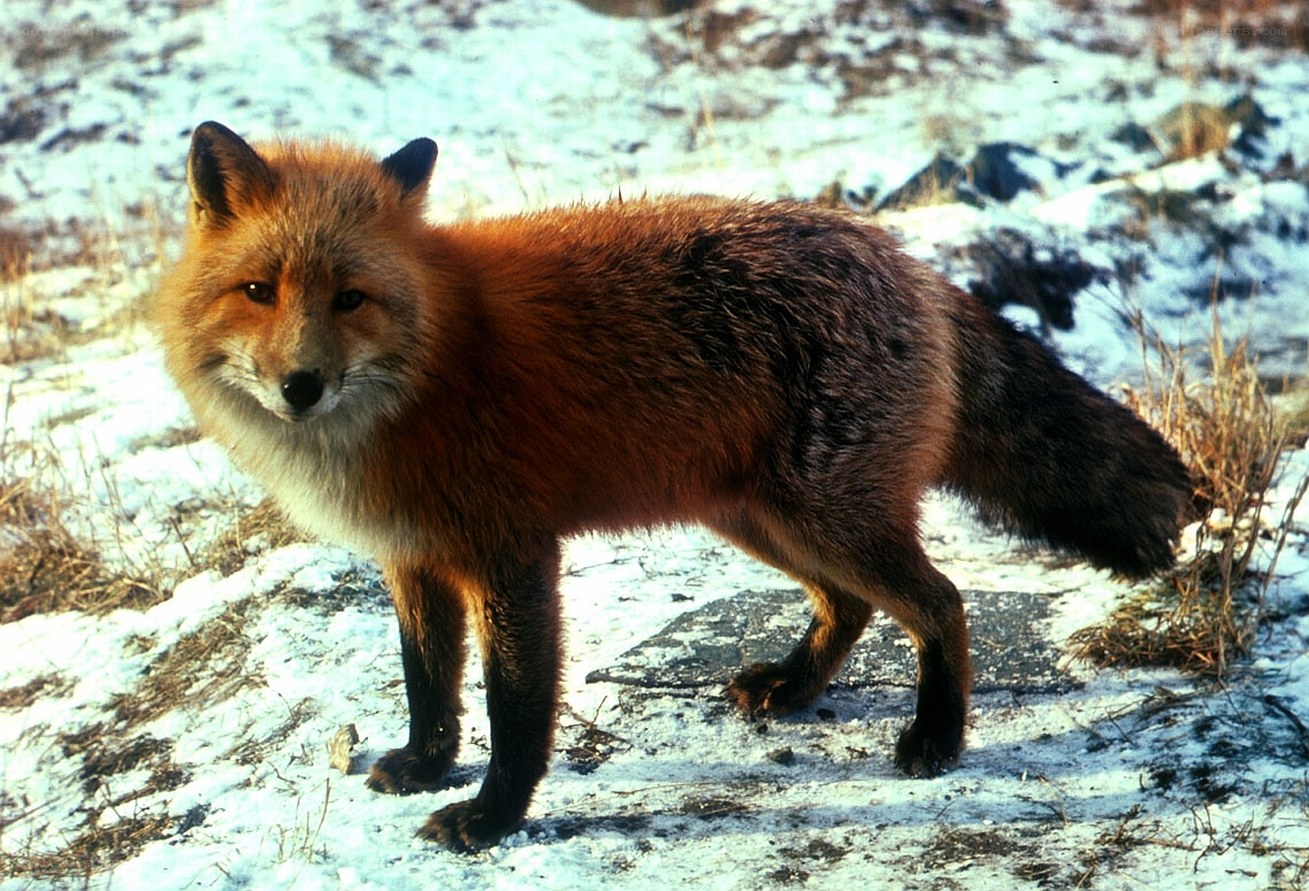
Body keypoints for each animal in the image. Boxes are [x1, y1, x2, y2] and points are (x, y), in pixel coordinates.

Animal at [155, 121, 1196, 851]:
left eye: (350, 299)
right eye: (259, 291)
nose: (300, 385)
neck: (427, 369)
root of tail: (905, 260)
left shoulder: (511, 554)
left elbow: (512, 706)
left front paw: (493, 817)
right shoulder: (413, 558)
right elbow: (427, 683)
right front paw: (425, 765)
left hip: (821, 514)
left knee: (941, 602)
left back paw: (936, 735)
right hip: (761, 517)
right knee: (854, 606)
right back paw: (793, 685)